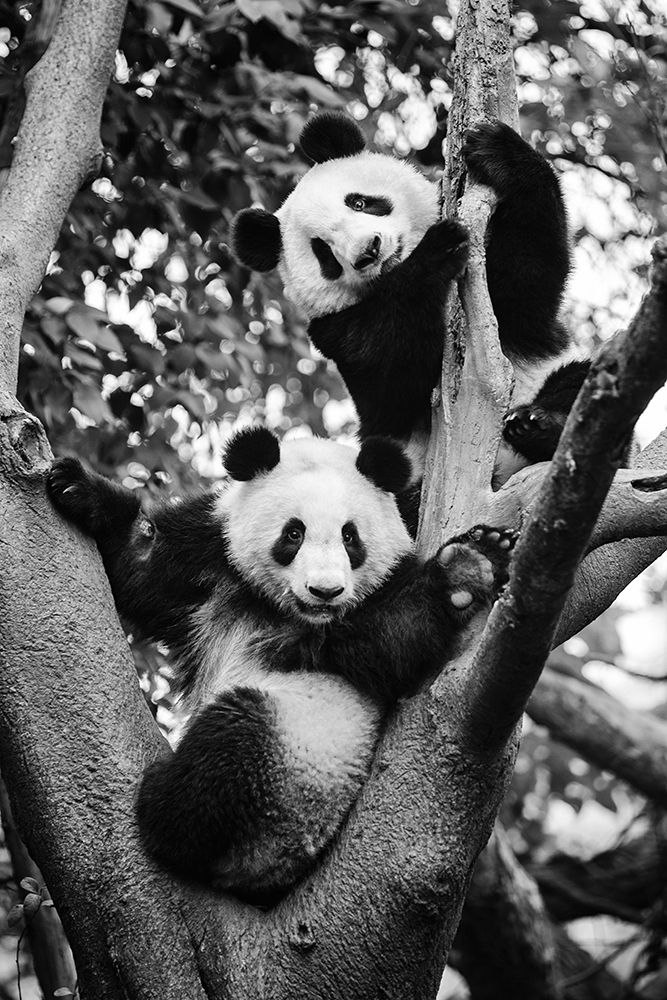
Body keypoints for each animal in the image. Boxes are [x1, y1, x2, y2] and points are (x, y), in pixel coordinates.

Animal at [47, 428, 516, 901]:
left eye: (351, 537)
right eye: (294, 533)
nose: (325, 591)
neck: (288, 611)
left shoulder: (378, 597)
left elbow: (392, 641)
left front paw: (467, 566)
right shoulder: (209, 556)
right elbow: (141, 565)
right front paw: (75, 488)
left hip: (296, 772)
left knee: (235, 738)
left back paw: (163, 810)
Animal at [230, 112, 590, 497]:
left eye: (359, 203)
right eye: (323, 252)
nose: (369, 251)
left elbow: (526, 285)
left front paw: (497, 148)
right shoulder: (336, 332)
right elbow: (393, 380)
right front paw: (436, 252)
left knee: (576, 377)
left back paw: (537, 425)